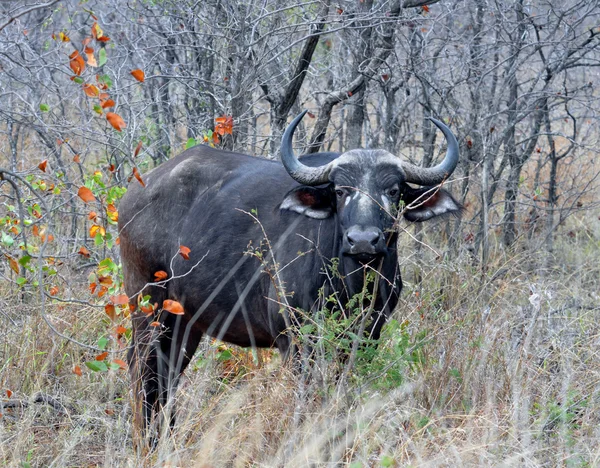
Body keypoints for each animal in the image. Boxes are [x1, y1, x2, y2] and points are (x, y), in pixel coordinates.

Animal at [119, 109, 462, 436]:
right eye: (340, 191)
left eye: (393, 190)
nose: (363, 240)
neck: (350, 283)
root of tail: (137, 189)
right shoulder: (295, 341)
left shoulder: (367, 337)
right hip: (148, 305)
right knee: (142, 370)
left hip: (185, 321)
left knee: (167, 374)